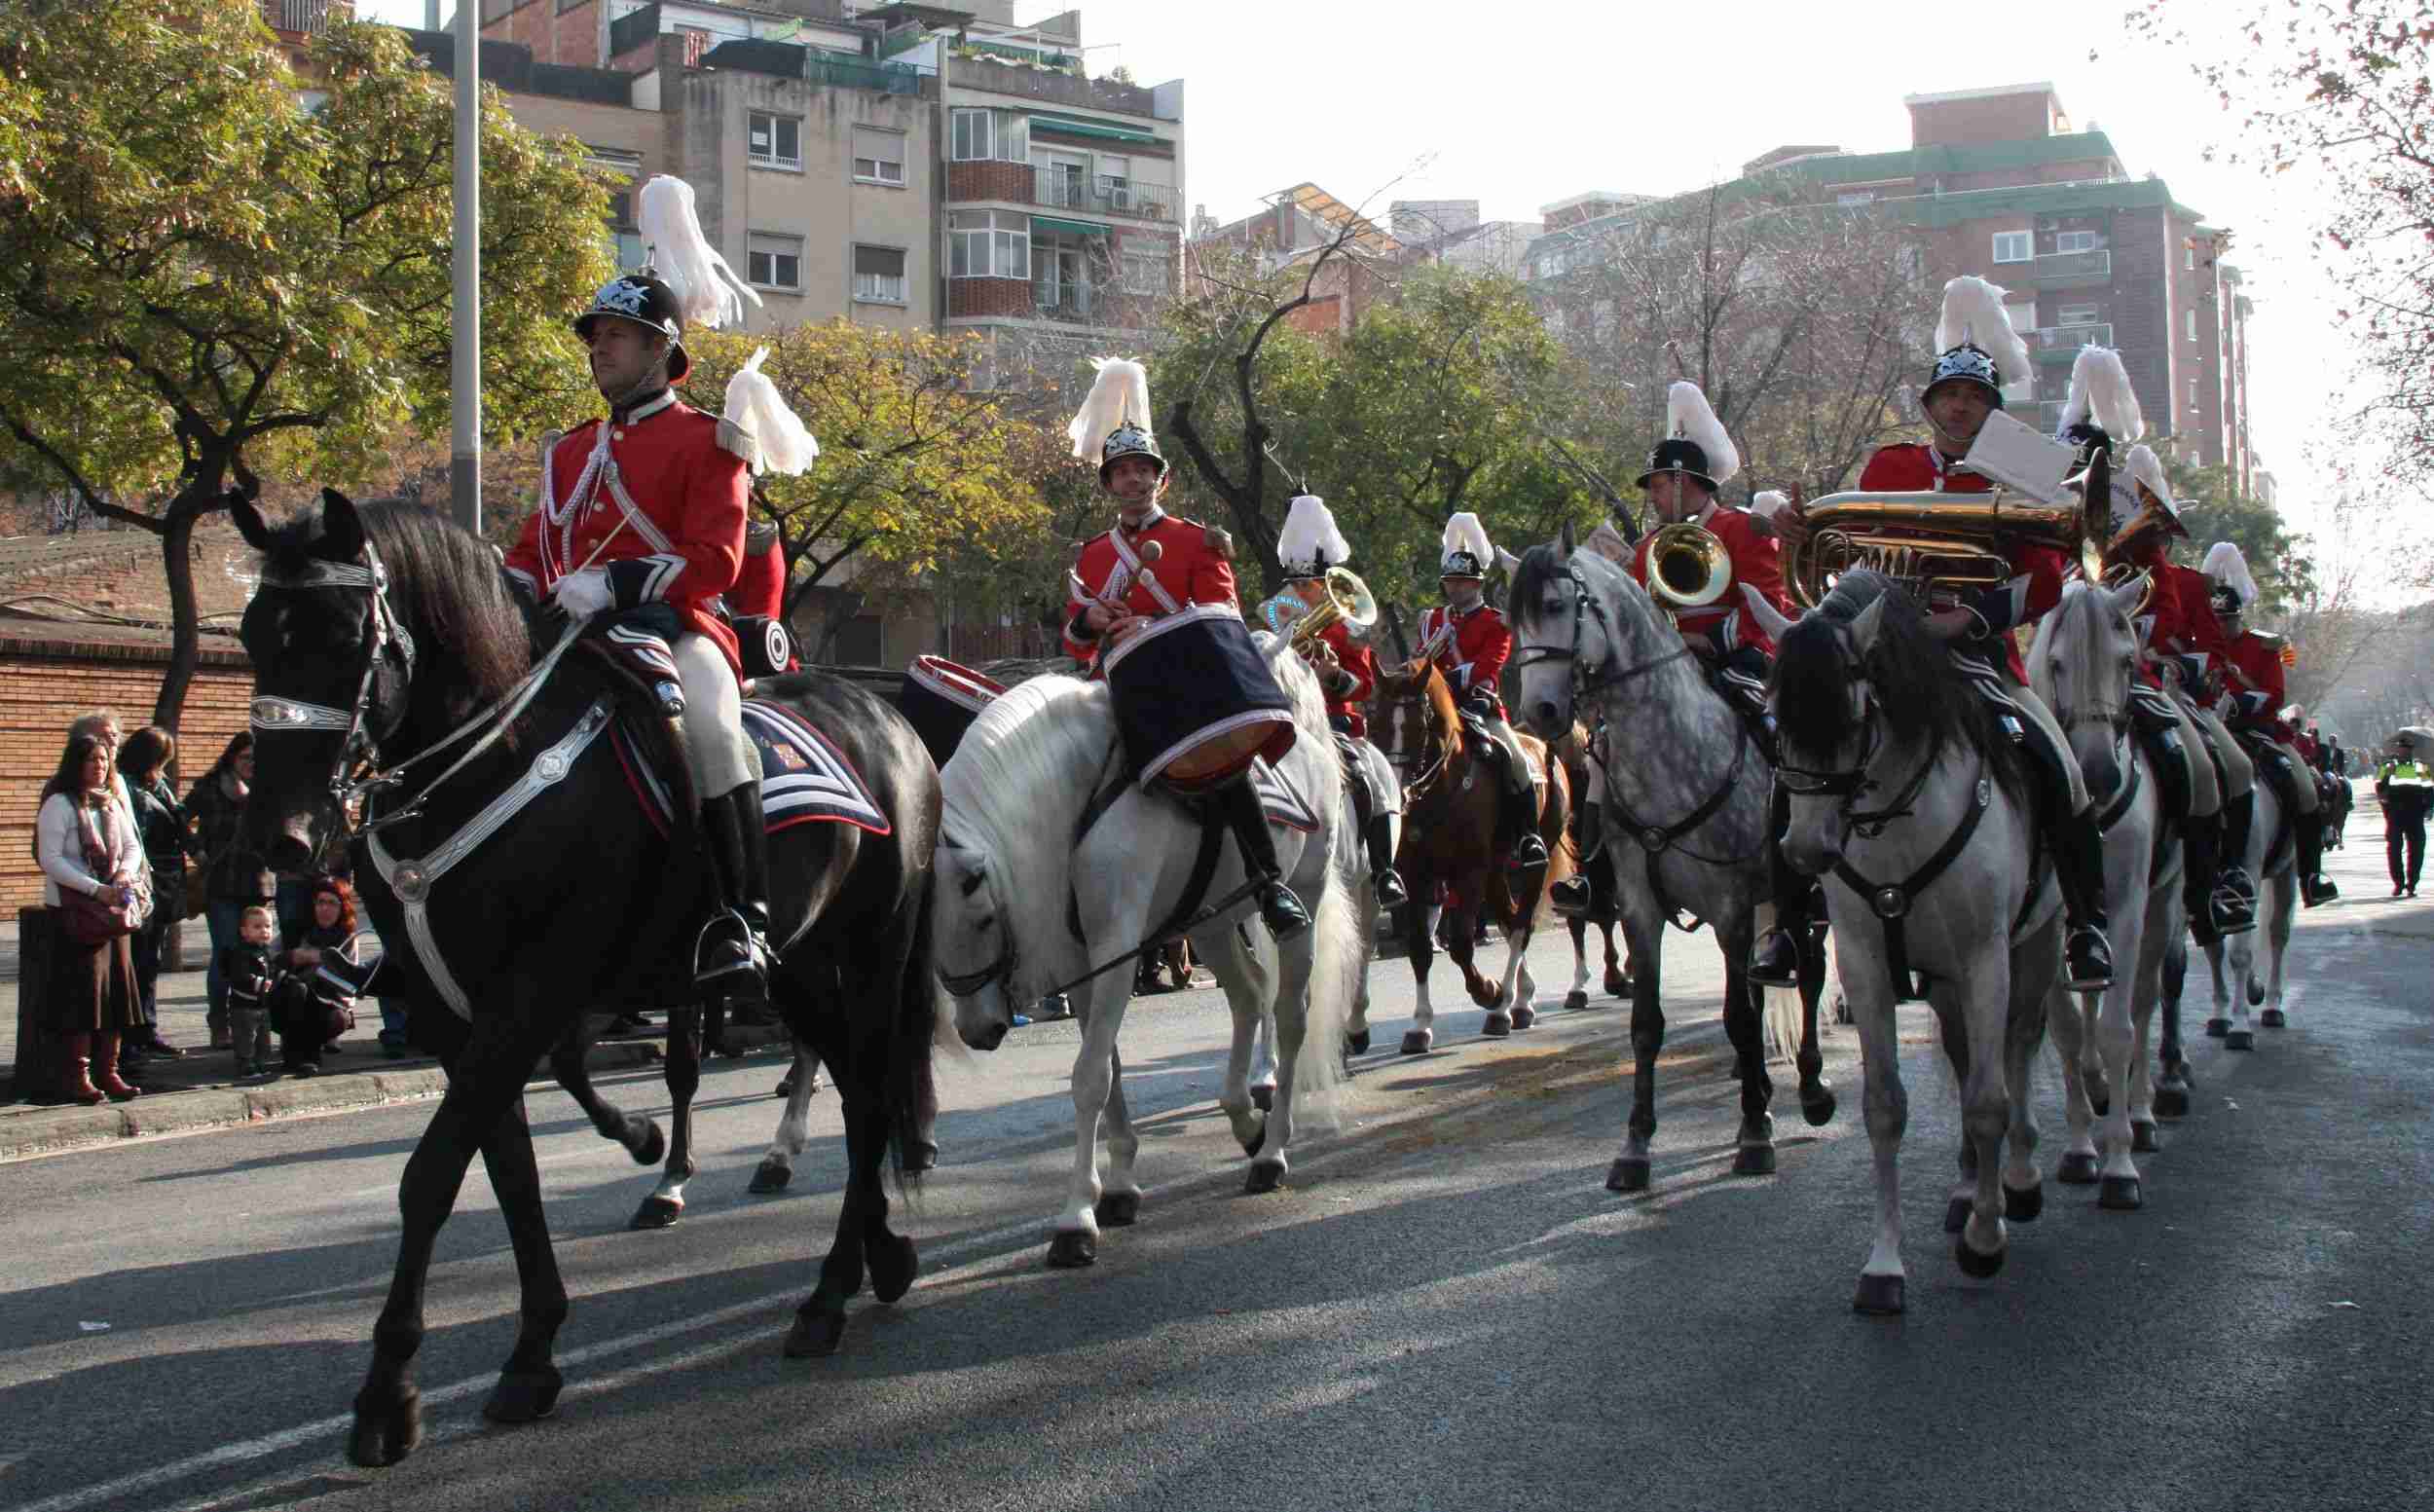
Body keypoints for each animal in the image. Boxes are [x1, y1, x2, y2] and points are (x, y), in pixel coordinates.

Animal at [232, 492, 940, 1460]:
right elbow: (510, 1172)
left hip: (872, 953)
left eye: (343, 636)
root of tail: (892, 719)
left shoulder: (530, 995)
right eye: (250, 633)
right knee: (859, 1090)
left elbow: (431, 1175)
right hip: (795, 966)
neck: (488, 755)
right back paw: (877, 1256)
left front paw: (386, 1392)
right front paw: (532, 1352)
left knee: (868, 1094)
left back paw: (829, 1295)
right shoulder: (460, 1015)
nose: (281, 837)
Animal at [925, 638, 1363, 1266]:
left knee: (1290, 1015)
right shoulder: (1084, 962)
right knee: (1249, 995)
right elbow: (1108, 1069)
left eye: (982, 914)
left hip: (1304, 896)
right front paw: (1120, 1188)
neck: (1080, 795)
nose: (979, 1031)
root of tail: (1309, 738)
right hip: (1211, 923)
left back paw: (1272, 1152)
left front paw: (1076, 1219)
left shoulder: (1120, 946)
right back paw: (1243, 1120)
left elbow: (1089, 1077)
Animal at [1373, 662, 1577, 1051]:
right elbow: (1419, 950)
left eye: (1419, 726)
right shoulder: (1418, 877)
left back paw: (1505, 1008)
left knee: (1521, 926)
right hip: (1496, 870)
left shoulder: (1468, 873)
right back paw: (1521, 999)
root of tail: (1544, 749)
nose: (1395, 795)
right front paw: (1419, 1025)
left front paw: (1489, 992)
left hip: (1530, 864)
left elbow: (1462, 945)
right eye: (1374, 721)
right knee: (1510, 921)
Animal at [1772, 572, 2074, 1314]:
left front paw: (1986, 1240)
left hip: (2035, 947)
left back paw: (2017, 1180)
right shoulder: (1866, 966)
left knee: (2017, 1049)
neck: (1896, 824)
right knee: (1966, 1057)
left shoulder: (1986, 959)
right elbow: (1885, 1106)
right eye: (1776, 718)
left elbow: (1992, 1100)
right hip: (1941, 979)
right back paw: (1968, 1188)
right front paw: (1883, 1266)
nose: (1805, 849)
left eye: (1855, 717)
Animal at [2025, 584, 2181, 1207]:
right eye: (2057, 663)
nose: (2097, 773)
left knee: (2142, 1001)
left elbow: (2121, 1027)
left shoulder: (2129, 905)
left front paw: (2118, 1164)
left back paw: (2139, 1114)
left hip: (2162, 909)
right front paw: (2080, 1149)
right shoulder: (2049, 923)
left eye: (2127, 661)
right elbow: (2069, 1030)